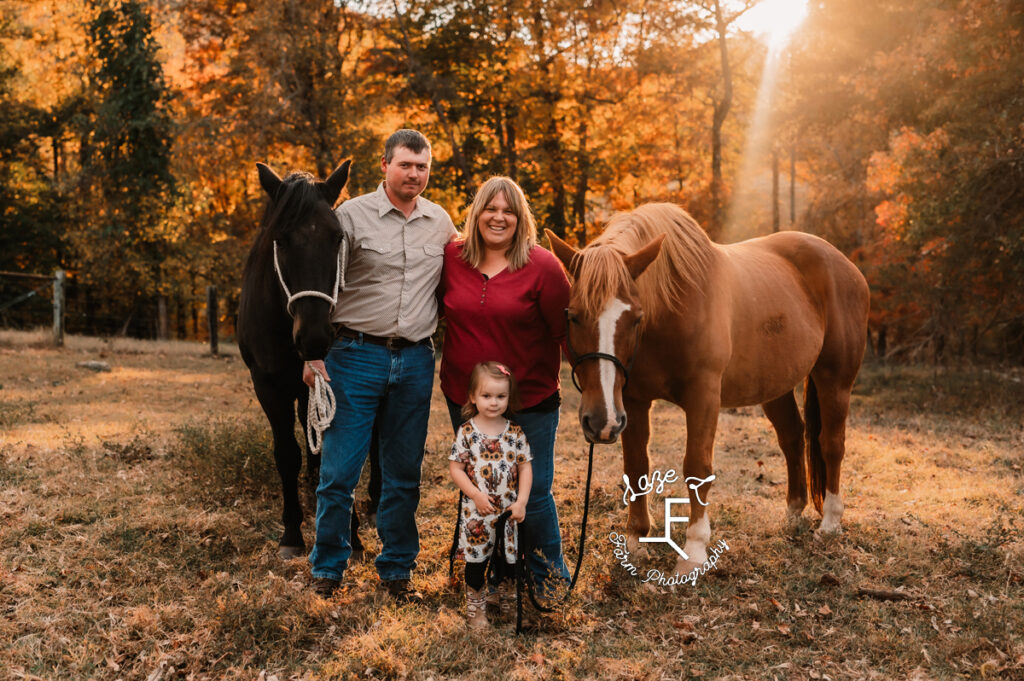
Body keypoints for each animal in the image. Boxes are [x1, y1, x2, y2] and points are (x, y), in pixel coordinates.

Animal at [237, 159, 378, 557]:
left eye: (337, 238)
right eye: (281, 239)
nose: (315, 337)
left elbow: (341, 455)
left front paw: (351, 534)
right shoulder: (268, 386)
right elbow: (288, 453)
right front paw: (292, 533)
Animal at [548, 204, 868, 577]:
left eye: (635, 318)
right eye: (572, 316)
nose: (601, 422)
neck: (671, 307)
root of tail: (845, 265)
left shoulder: (703, 396)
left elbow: (696, 466)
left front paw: (694, 551)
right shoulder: (633, 401)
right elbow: (637, 466)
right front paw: (636, 541)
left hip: (834, 380)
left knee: (831, 444)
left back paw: (830, 522)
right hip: (775, 385)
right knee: (792, 437)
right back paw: (793, 513)